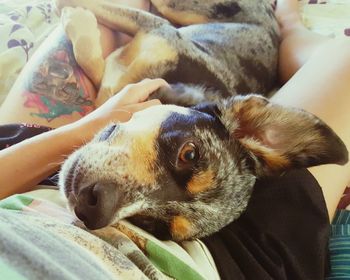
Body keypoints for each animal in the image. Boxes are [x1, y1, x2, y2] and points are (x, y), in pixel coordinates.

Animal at [56, 0, 348, 241]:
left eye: (153, 226)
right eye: (189, 153)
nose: (93, 206)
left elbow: (98, 70)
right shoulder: (157, 30)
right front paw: (77, 18)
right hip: (177, 7)